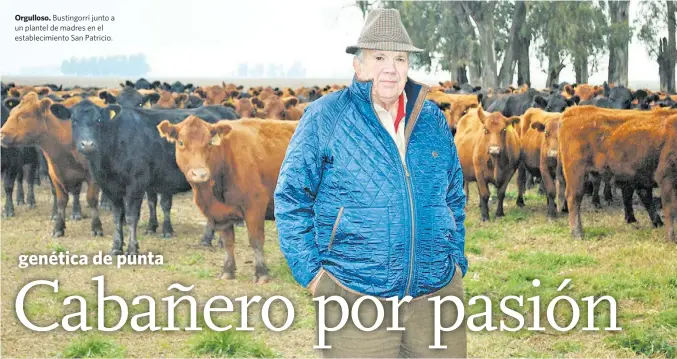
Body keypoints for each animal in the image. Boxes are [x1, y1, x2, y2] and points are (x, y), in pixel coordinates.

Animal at [0, 94, 103, 238]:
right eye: (11, 113)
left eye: (24, 115)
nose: (1, 134)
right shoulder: (55, 174)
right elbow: (61, 201)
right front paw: (58, 227)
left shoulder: (93, 175)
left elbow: (91, 199)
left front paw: (96, 227)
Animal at [50, 100, 240, 255]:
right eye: (74, 120)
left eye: (98, 120)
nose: (88, 144)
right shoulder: (110, 187)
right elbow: (117, 216)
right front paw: (116, 247)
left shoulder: (136, 185)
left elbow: (131, 216)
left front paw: (132, 248)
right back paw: (207, 239)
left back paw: (220, 240)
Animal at [158, 116, 298, 282]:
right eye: (181, 142)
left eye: (209, 143)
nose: (200, 174)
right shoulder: (220, 216)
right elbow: (228, 242)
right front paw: (227, 271)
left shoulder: (255, 204)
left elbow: (256, 240)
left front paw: (261, 273)